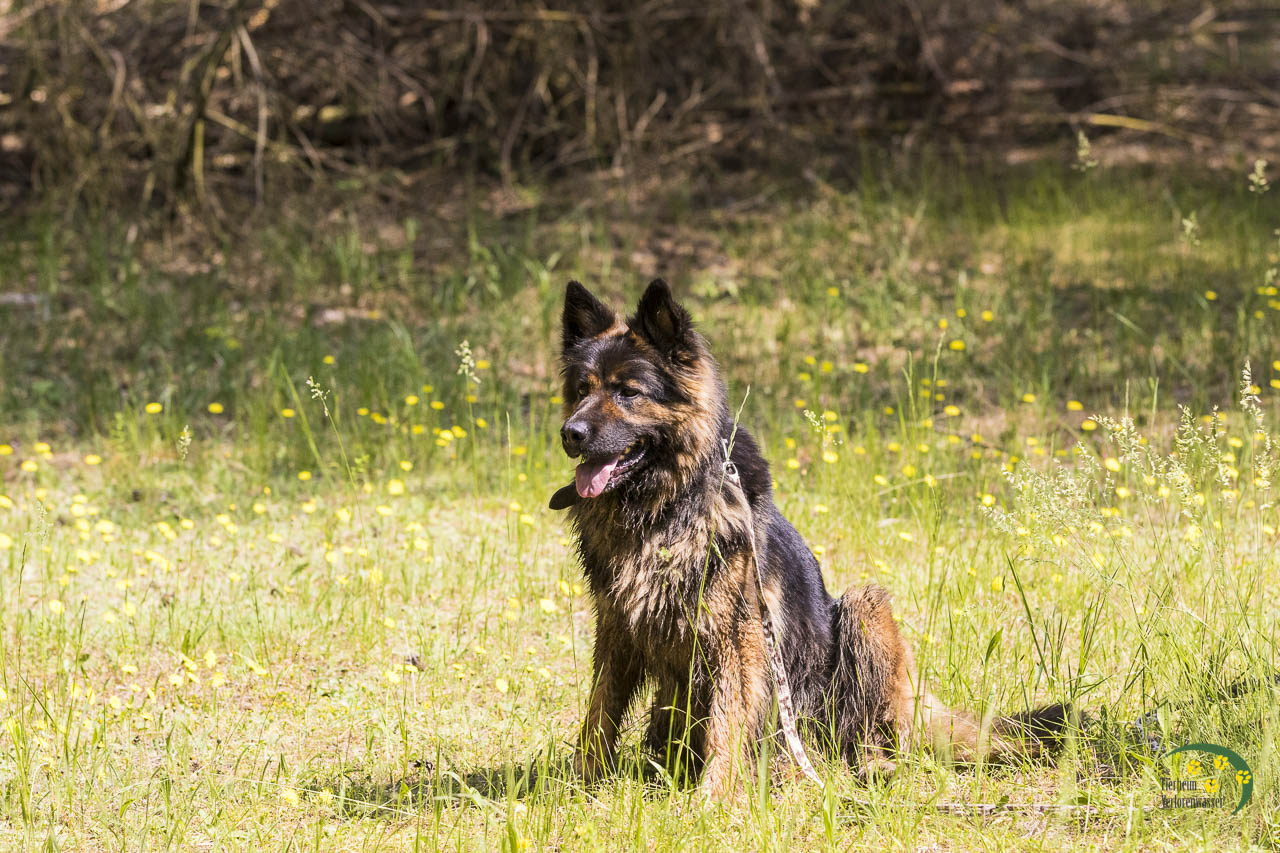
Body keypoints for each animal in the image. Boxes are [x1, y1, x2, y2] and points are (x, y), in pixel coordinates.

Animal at [550, 279, 1068, 798]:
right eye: (582, 390)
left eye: (628, 392)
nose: (570, 433)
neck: (668, 506)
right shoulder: (617, 627)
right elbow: (599, 712)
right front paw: (578, 784)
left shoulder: (739, 639)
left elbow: (726, 721)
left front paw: (712, 797)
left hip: (863, 610)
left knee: (877, 734)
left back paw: (868, 767)